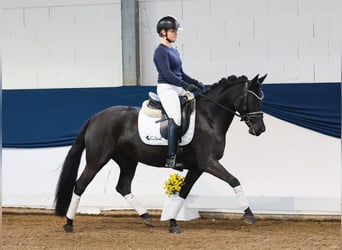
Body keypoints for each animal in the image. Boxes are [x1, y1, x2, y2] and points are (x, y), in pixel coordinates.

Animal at [54, 73, 268, 232]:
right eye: (252, 99)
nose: (260, 129)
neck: (209, 118)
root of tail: (95, 117)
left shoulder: (198, 167)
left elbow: (183, 192)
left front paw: (173, 222)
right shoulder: (209, 162)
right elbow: (234, 180)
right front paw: (249, 215)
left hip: (128, 160)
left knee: (123, 186)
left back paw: (147, 217)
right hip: (97, 159)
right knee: (80, 185)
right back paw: (69, 223)